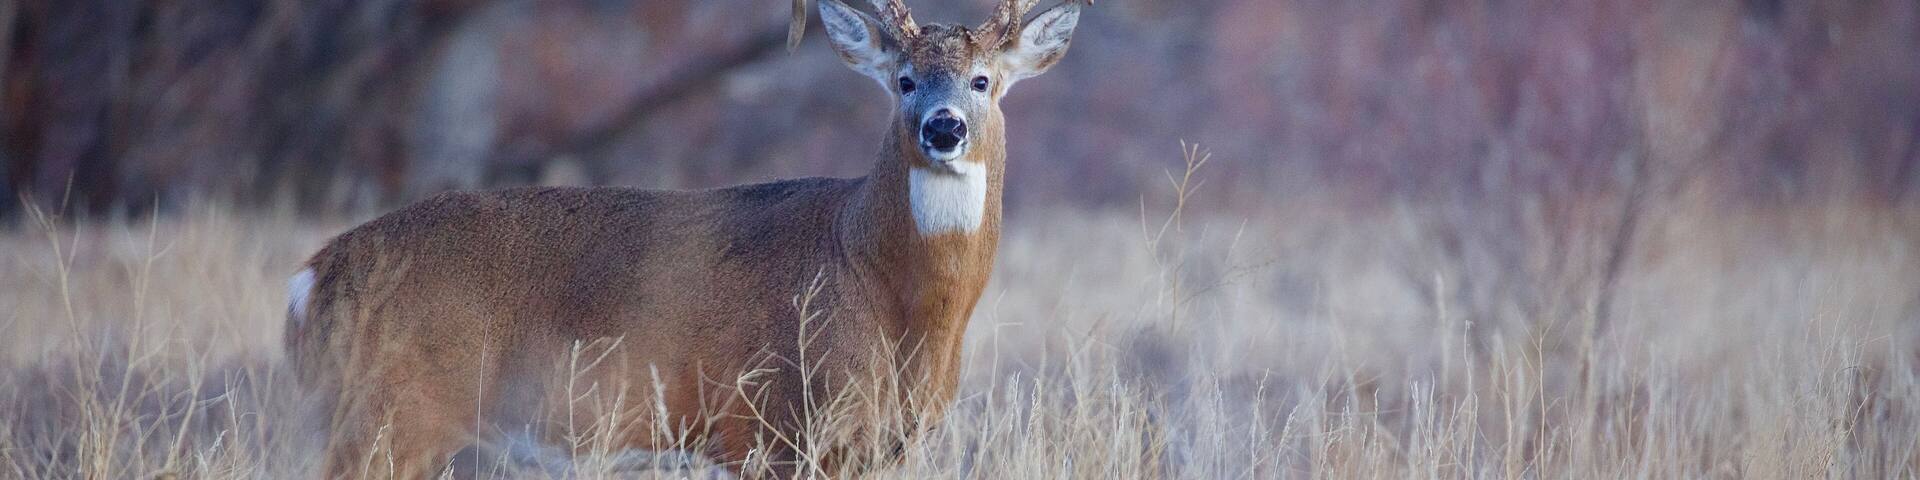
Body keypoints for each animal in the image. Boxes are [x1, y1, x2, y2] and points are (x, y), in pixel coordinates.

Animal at [283, 0, 1083, 477]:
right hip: (388, 418)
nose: (943, 128)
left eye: (983, 80)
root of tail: (311, 279)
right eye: (905, 80)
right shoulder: (768, 427)